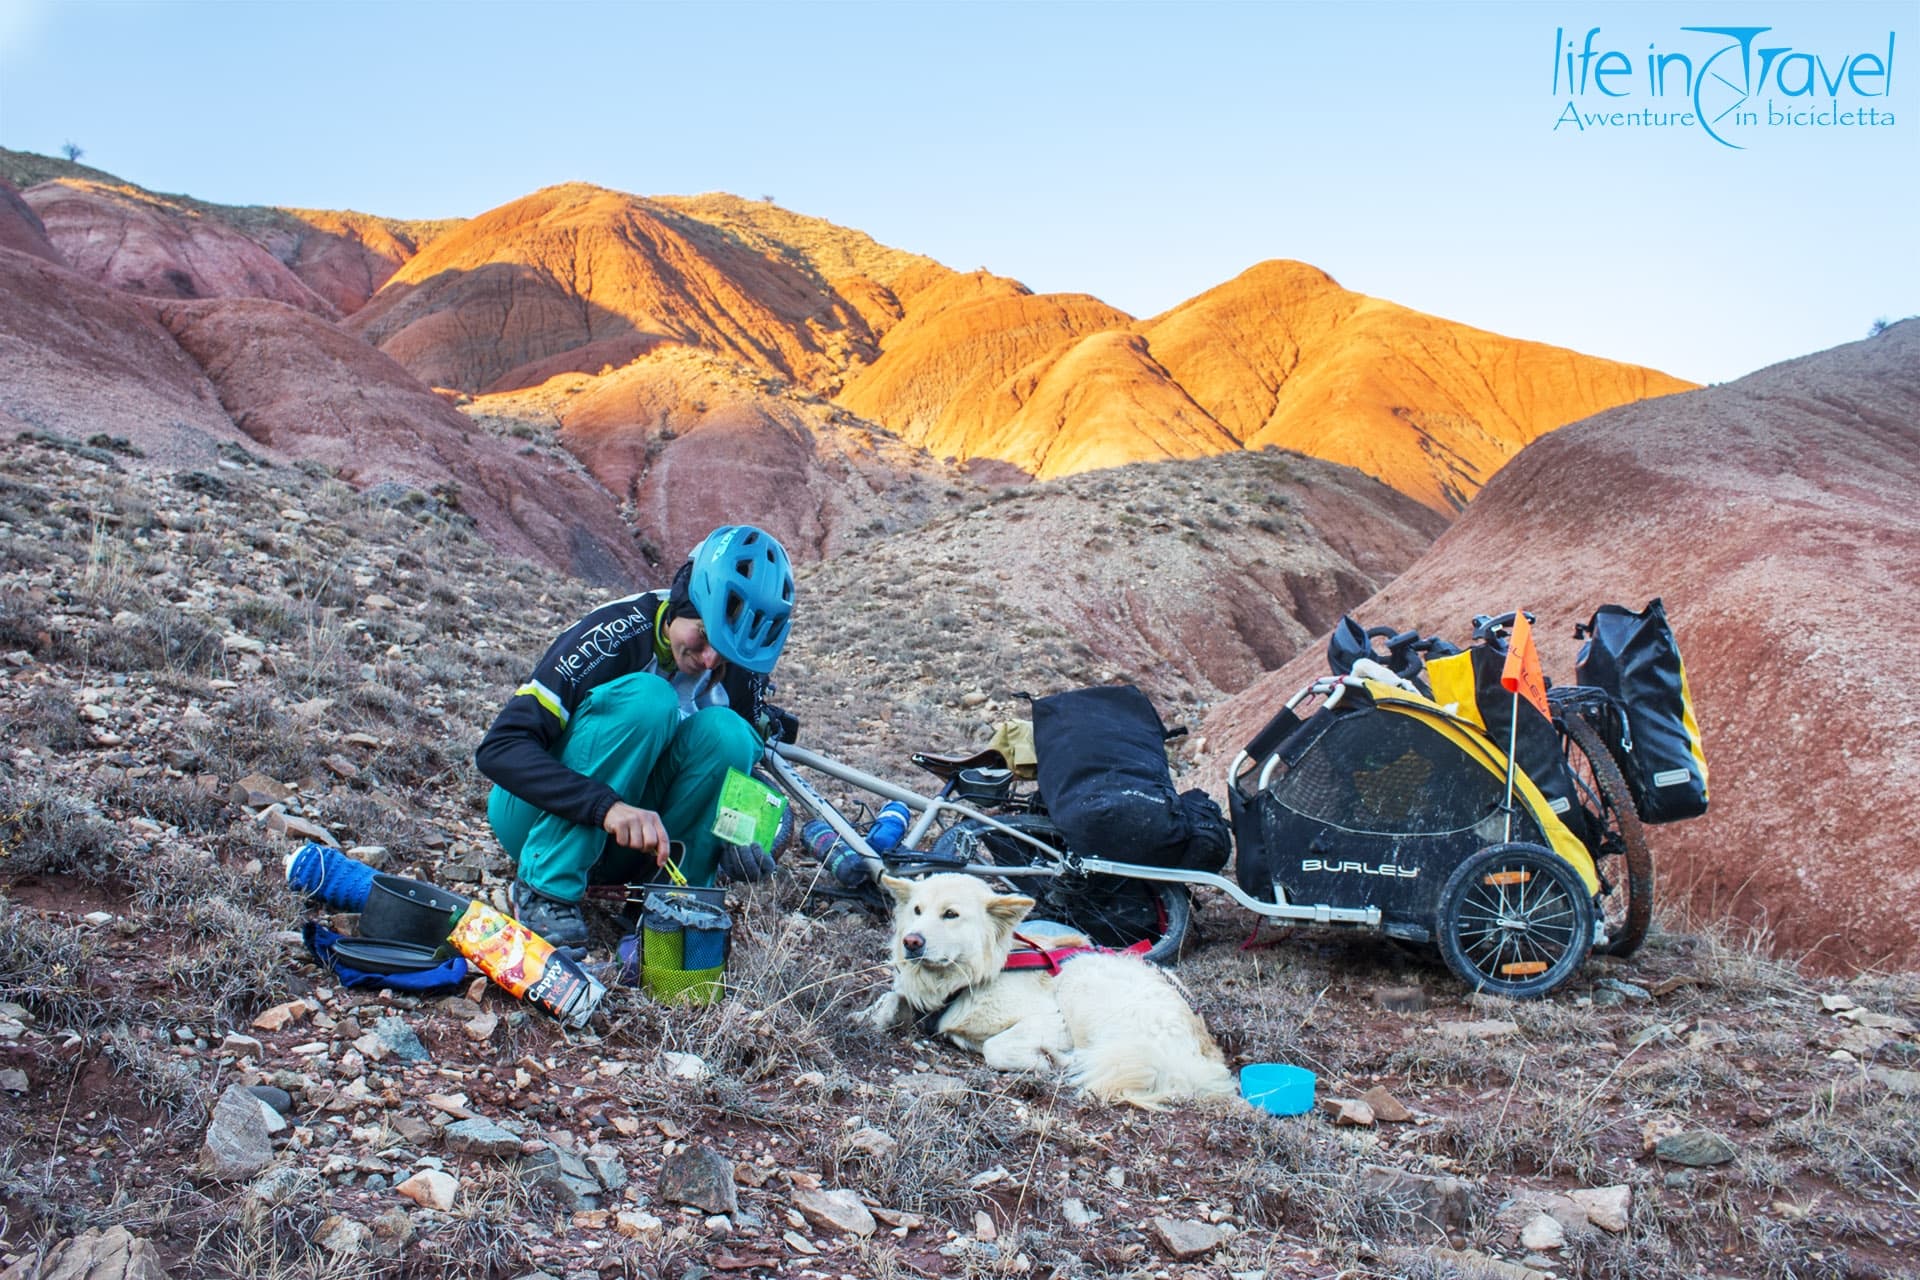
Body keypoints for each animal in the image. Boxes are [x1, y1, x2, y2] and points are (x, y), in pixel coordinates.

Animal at [856, 875, 1228, 1105]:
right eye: (917, 911)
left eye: (951, 914)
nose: (911, 942)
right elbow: (889, 997)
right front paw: (865, 1015)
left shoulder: (1050, 1020)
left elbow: (994, 1046)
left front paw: (1040, 1060)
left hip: (1084, 984)